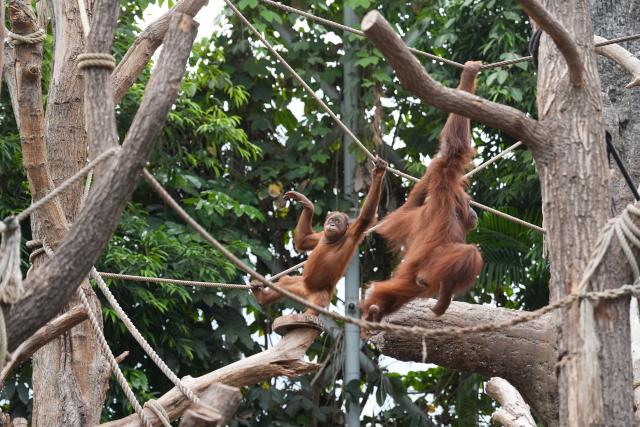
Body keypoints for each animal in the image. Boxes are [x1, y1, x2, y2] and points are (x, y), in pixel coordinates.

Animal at [252, 157, 388, 316]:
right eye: (331, 220)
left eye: (338, 221)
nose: (332, 225)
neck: (333, 239)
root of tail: (307, 293)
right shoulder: (321, 235)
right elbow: (303, 241)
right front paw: (307, 204)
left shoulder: (354, 232)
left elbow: (366, 216)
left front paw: (378, 173)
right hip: (300, 285)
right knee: (285, 282)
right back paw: (262, 297)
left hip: (320, 294)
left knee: (316, 303)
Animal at [360, 61, 484, 321]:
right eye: (469, 204)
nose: (474, 212)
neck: (454, 212)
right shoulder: (446, 182)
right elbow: (453, 150)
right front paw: (469, 75)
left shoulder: (411, 213)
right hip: (428, 270)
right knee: (471, 254)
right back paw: (445, 296)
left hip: (406, 282)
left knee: (393, 293)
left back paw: (374, 311)